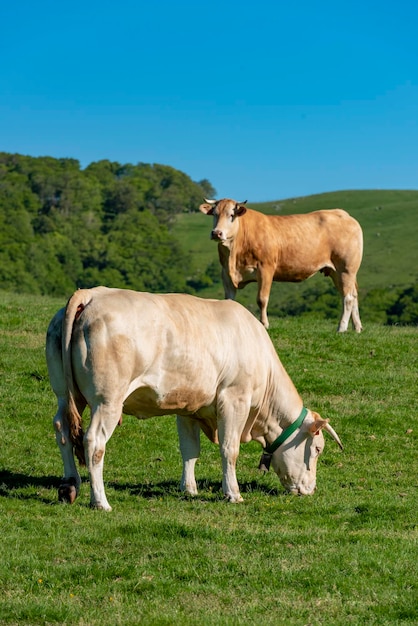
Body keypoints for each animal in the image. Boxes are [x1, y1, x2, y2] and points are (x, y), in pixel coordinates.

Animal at [45, 286, 342, 508]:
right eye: (317, 449)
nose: (310, 489)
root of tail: (91, 294)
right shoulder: (234, 399)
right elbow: (229, 449)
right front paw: (232, 493)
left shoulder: (187, 407)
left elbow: (190, 450)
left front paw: (189, 489)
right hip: (107, 400)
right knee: (93, 442)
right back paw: (100, 501)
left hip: (66, 395)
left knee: (62, 429)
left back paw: (69, 486)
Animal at [199, 199, 362, 332]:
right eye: (215, 214)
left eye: (231, 215)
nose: (217, 233)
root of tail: (343, 214)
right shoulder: (226, 272)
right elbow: (229, 301)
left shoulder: (266, 268)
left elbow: (262, 299)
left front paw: (264, 324)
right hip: (337, 271)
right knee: (352, 295)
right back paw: (357, 327)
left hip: (346, 268)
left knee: (347, 297)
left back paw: (342, 328)